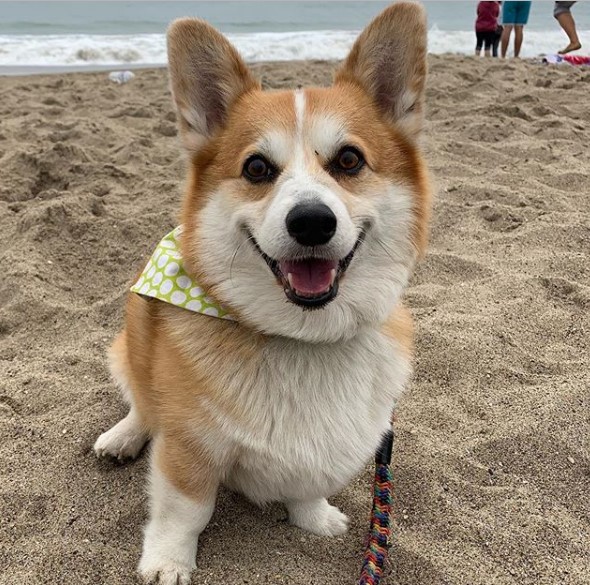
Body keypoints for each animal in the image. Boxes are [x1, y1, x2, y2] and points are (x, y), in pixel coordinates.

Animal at [95, 2, 432, 580]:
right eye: (256, 167)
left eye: (349, 160)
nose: (312, 222)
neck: (304, 338)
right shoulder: (187, 448)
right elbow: (186, 510)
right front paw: (167, 562)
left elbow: (309, 486)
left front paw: (314, 518)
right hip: (134, 342)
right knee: (140, 400)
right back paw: (122, 436)